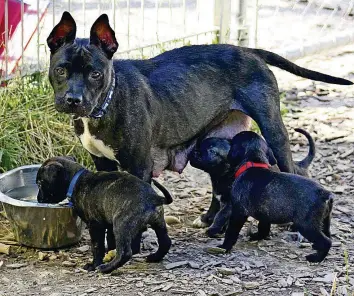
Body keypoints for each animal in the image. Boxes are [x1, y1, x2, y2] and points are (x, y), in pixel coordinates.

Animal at [36, 156, 172, 274]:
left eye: (40, 183)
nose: (38, 199)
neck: (76, 180)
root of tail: (154, 198)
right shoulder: (107, 223)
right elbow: (109, 240)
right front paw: (108, 252)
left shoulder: (95, 226)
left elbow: (97, 246)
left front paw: (93, 265)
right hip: (158, 222)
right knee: (165, 241)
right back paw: (154, 257)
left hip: (121, 224)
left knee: (125, 252)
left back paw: (106, 268)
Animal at [46, 12, 352, 206]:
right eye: (60, 70)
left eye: (95, 74)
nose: (73, 99)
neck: (105, 104)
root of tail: (250, 50)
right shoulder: (102, 162)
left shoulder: (140, 166)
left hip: (274, 130)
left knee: (289, 167)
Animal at [217, 132, 334, 264]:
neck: (253, 163)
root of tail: (325, 193)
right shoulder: (264, 214)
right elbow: (263, 228)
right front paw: (258, 236)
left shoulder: (238, 213)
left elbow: (231, 232)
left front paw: (224, 247)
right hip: (324, 221)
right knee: (327, 236)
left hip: (307, 226)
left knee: (326, 242)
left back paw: (315, 258)